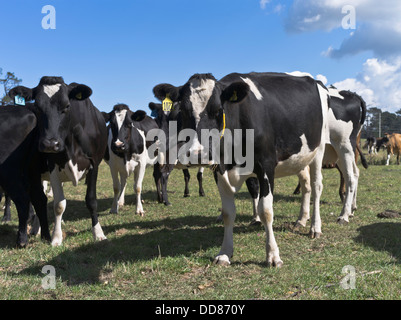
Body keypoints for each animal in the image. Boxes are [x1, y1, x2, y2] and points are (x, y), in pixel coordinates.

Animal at [0, 105, 50, 248]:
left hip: (8, 171)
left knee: (22, 200)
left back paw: (22, 240)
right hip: (32, 170)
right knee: (39, 199)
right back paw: (46, 236)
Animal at [9, 76, 108, 246]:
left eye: (67, 106)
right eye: (37, 106)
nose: (50, 144)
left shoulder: (94, 164)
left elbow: (91, 200)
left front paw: (98, 233)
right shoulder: (53, 165)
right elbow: (58, 205)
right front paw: (56, 237)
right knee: (40, 198)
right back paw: (37, 228)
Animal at [153, 72, 328, 268]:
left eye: (218, 110)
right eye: (183, 111)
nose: (199, 154)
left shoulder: (266, 165)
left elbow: (266, 211)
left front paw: (273, 255)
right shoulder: (220, 170)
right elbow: (228, 213)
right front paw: (224, 253)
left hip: (319, 149)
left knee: (316, 186)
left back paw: (315, 227)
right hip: (300, 157)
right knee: (306, 185)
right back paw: (301, 220)